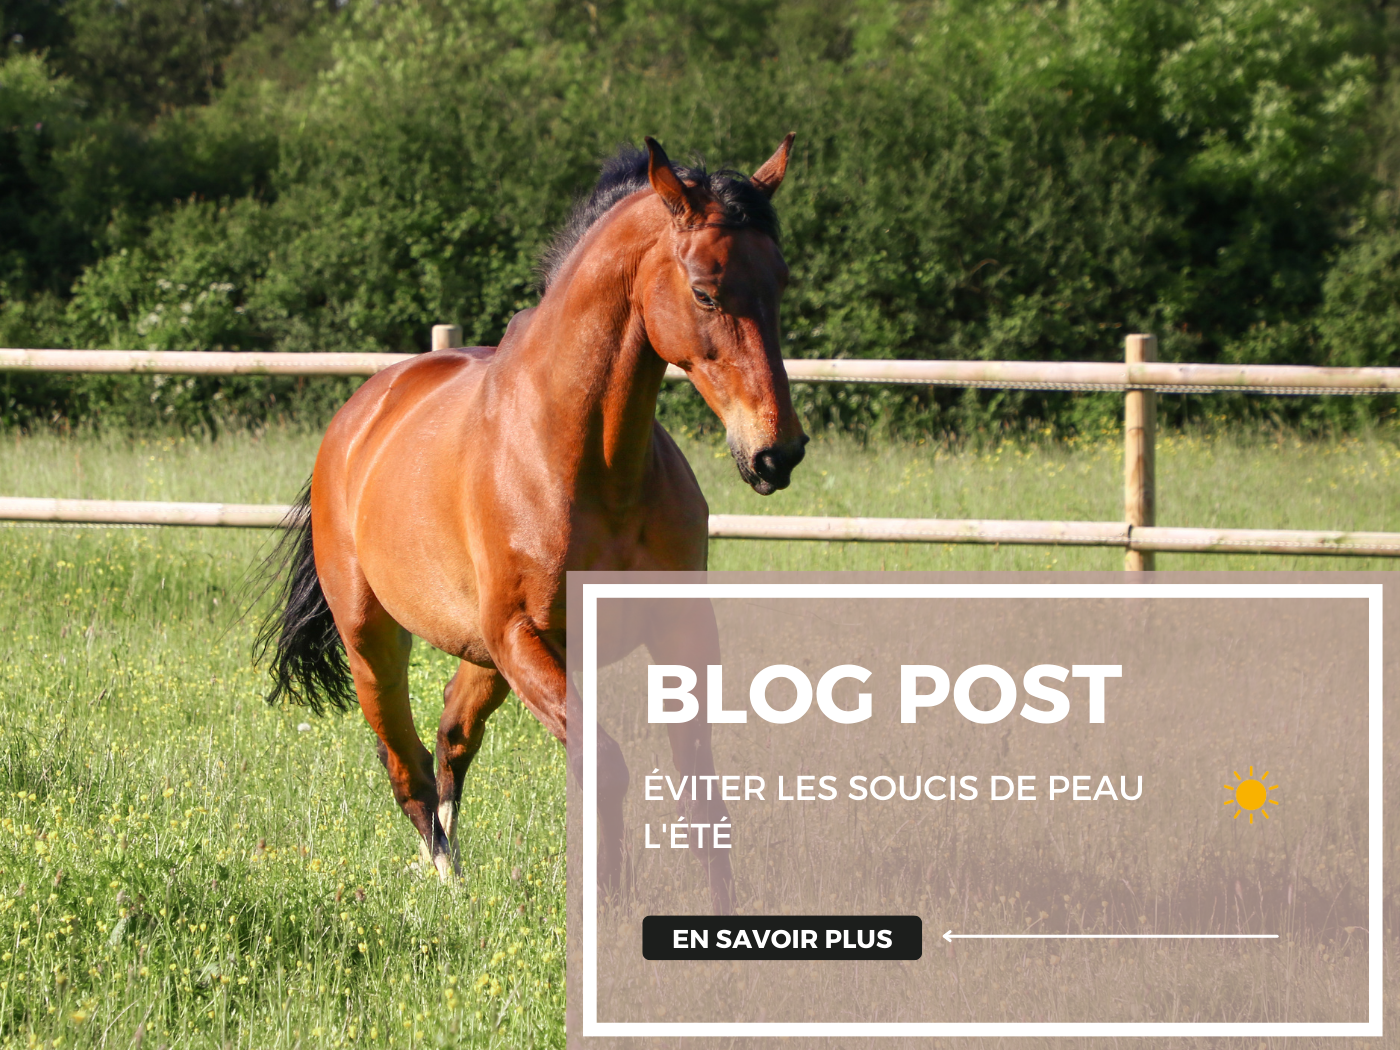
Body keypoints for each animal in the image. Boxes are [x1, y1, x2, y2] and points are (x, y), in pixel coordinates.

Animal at [256, 135, 806, 914]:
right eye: (705, 289)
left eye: (780, 282)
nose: (776, 452)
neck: (590, 462)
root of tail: (359, 414)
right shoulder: (525, 637)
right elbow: (605, 764)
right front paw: (607, 900)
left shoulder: (680, 633)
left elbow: (699, 792)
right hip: (377, 641)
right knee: (406, 764)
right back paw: (445, 881)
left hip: (483, 657)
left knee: (452, 736)